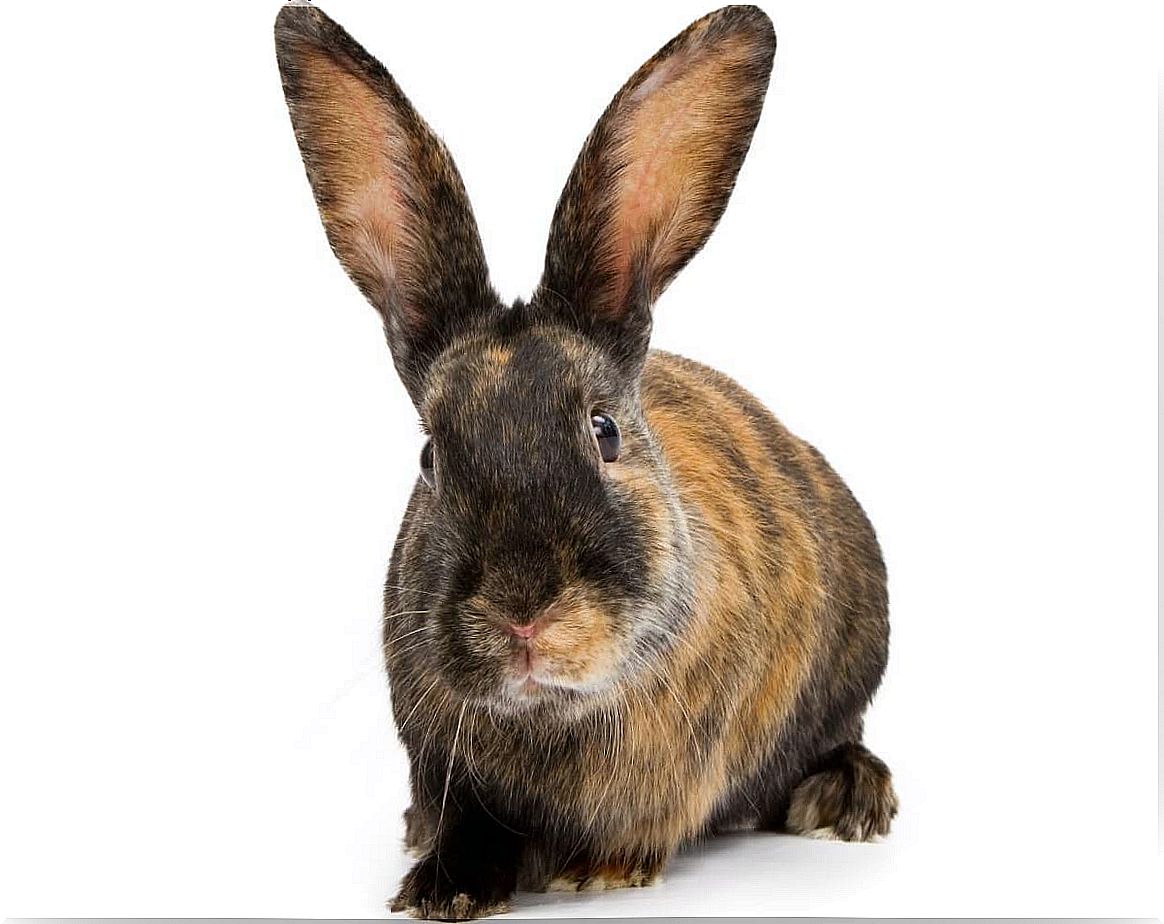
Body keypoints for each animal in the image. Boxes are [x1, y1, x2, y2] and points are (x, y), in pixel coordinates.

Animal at [277, 3, 893, 917]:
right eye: (430, 457)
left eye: (604, 432)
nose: (523, 616)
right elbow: (467, 823)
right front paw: (443, 885)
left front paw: (598, 870)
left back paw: (847, 799)